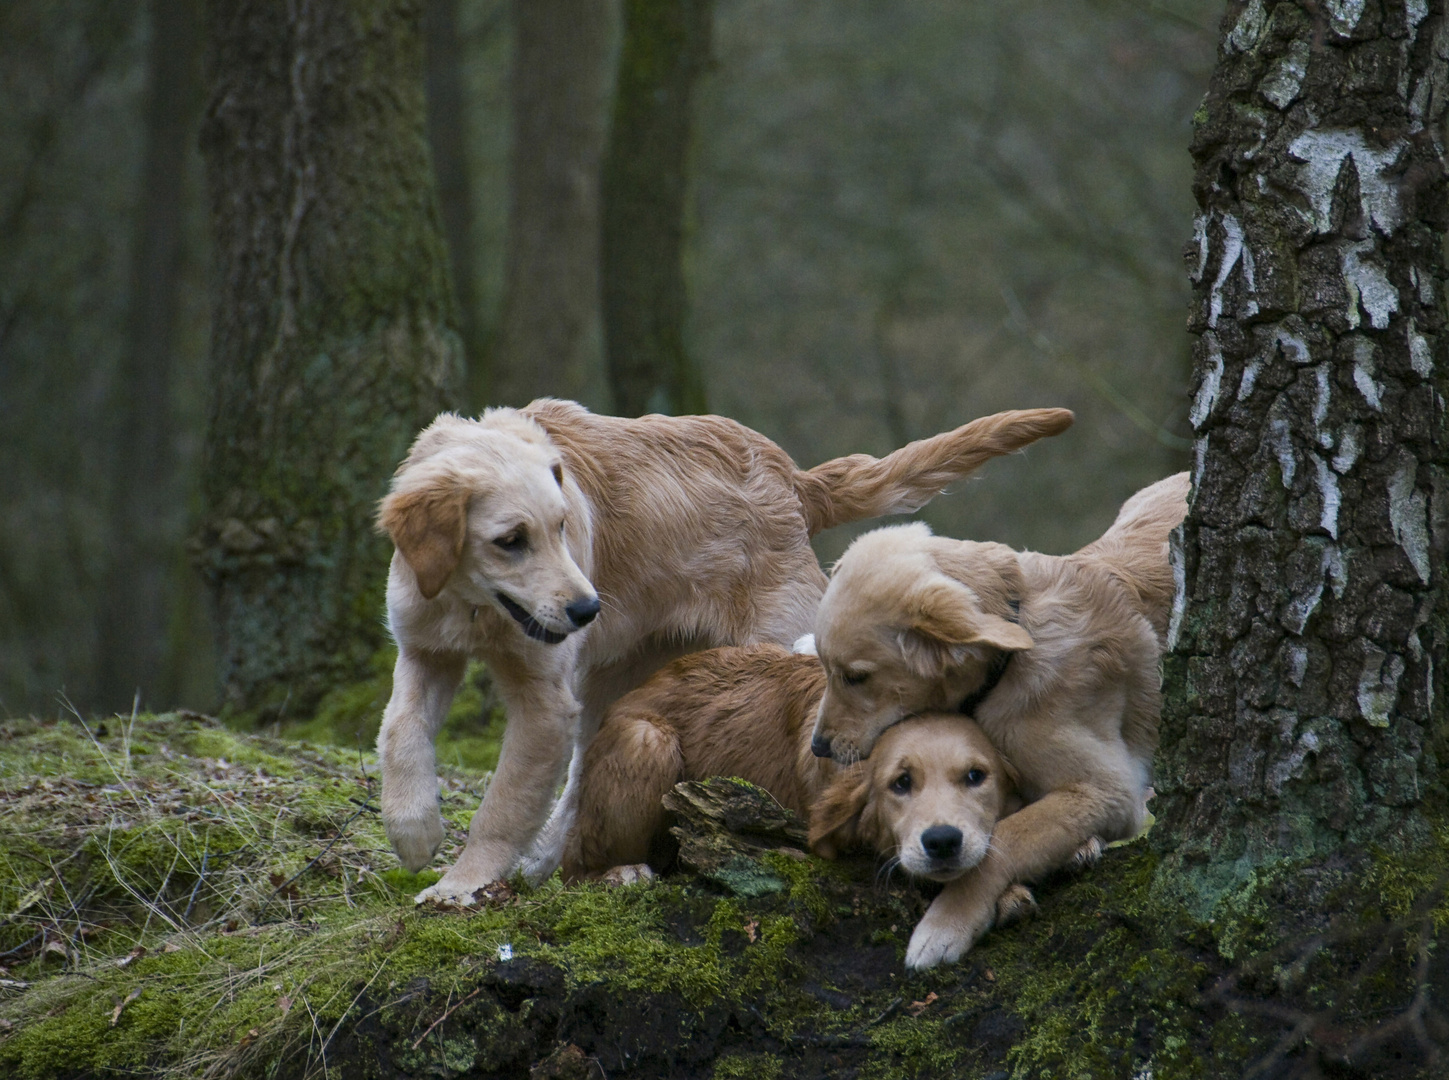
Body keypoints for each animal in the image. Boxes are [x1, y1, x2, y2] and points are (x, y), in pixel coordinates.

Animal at [373, 397, 1078, 898]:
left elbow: (502, 802)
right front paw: (414, 830)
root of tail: (793, 479)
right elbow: (398, 729)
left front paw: (460, 885)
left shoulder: (544, 697)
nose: (587, 610)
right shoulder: (423, 650)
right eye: (510, 541)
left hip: (769, 642)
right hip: (619, 681)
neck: (470, 604)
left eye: (562, 529)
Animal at [805, 472, 1188, 968]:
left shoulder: (1110, 792)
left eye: (855, 677)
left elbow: (1003, 842)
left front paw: (944, 924)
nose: (818, 747)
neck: (1012, 650)